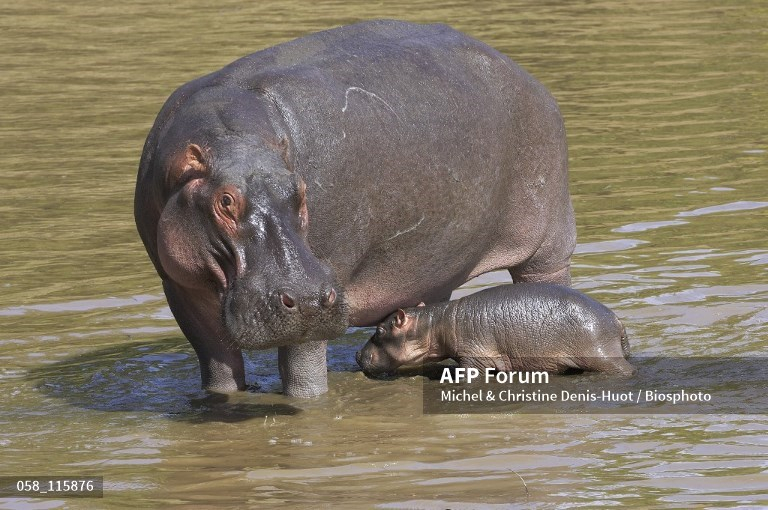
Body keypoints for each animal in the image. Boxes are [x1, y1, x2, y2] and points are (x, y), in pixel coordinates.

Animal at [356, 284, 632, 376]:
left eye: (379, 330)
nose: (357, 355)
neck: (435, 323)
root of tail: (616, 320)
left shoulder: (473, 358)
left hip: (602, 356)